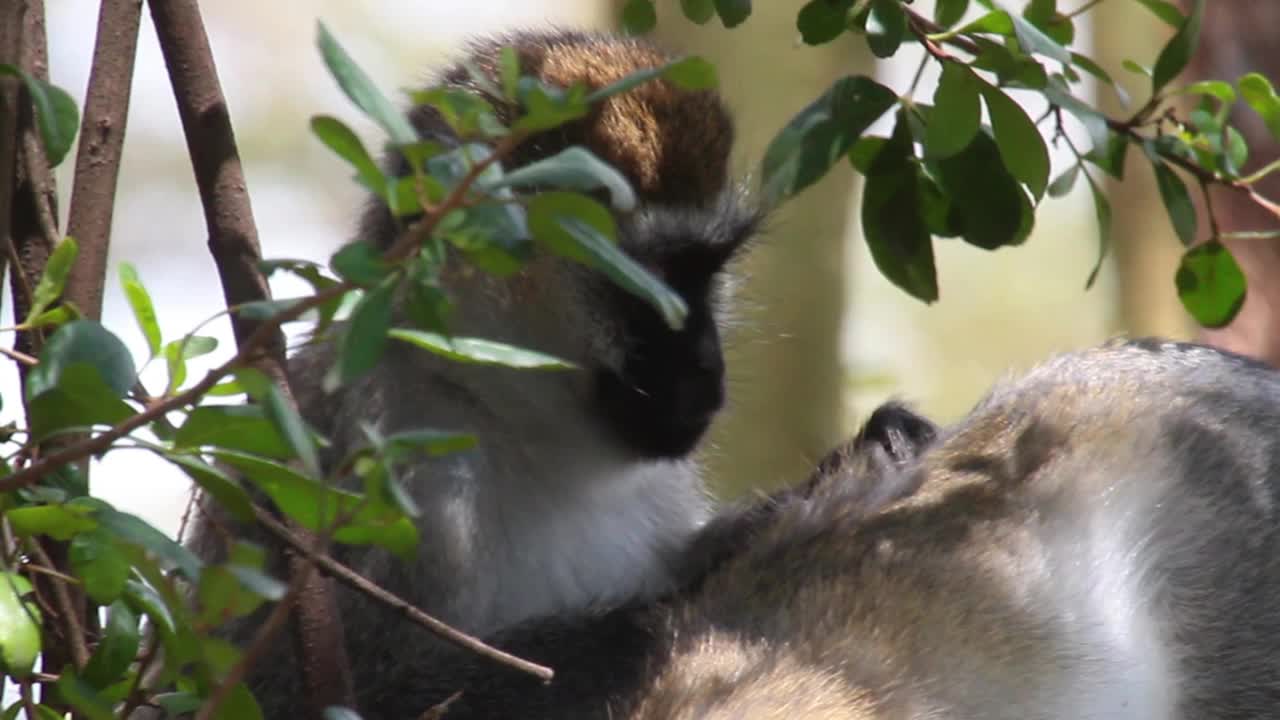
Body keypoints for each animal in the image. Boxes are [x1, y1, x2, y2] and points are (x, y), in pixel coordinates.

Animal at [176, 29, 762, 717]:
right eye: (654, 281)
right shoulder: (384, 471)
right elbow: (303, 696)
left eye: (707, 270)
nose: (707, 362)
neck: (498, 411)